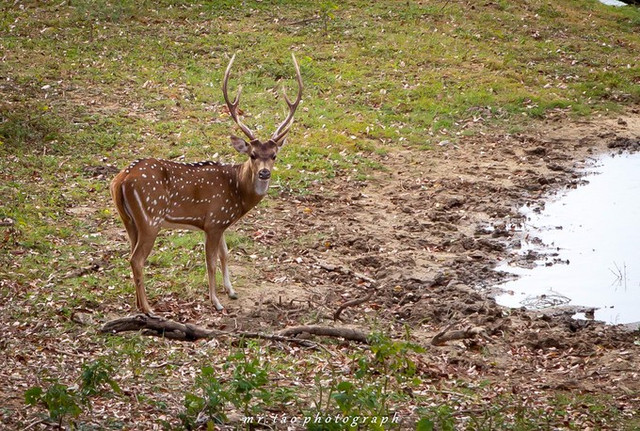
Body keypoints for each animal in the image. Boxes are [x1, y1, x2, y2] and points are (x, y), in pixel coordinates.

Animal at [109, 54, 302, 314]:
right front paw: (216, 302)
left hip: (128, 220)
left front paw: (231, 291)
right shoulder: (214, 220)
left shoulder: (221, 222)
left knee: (130, 255)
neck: (237, 193)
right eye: (252, 154)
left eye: (274, 156)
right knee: (136, 259)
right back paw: (148, 309)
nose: (264, 173)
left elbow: (225, 254)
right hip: (150, 218)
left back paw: (139, 305)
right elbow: (210, 261)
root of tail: (120, 180)